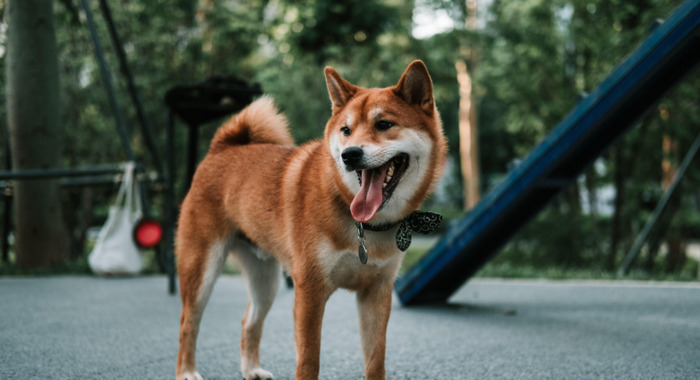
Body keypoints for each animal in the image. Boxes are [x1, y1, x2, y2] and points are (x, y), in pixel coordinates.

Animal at [175, 60, 448, 378]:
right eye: (346, 130)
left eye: (384, 125)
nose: (349, 154)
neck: (361, 224)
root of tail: (223, 148)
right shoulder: (310, 291)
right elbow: (309, 360)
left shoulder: (377, 294)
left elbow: (375, 360)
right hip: (202, 269)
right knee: (188, 322)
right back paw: (186, 371)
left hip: (265, 281)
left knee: (249, 322)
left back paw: (252, 369)